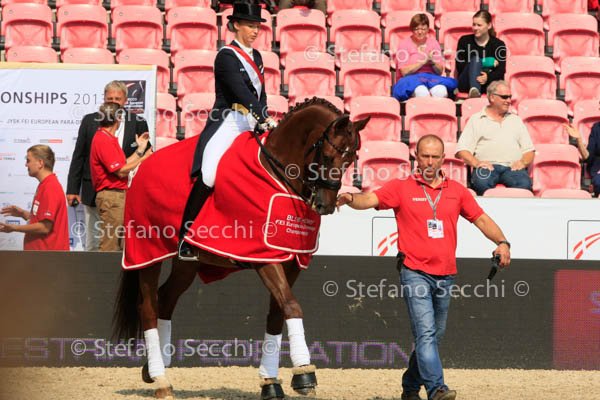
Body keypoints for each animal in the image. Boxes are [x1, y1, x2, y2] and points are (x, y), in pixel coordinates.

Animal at [113, 97, 369, 399]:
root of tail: (142, 168)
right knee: (148, 307)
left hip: (187, 264)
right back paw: (161, 379)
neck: (276, 175)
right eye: (328, 157)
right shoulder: (265, 259)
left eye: (350, 160)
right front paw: (304, 373)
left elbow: (278, 313)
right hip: (147, 254)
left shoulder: (291, 262)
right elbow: (292, 306)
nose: (325, 205)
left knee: (165, 300)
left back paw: (153, 369)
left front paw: (270, 382)